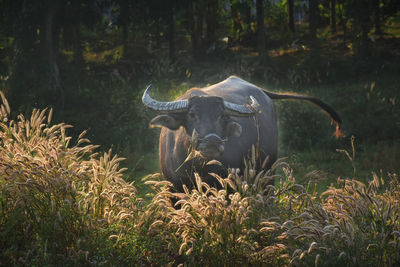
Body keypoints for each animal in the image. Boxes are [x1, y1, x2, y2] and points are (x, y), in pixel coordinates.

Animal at [142, 76, 342, 192]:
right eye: (192, 114)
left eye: (223, 116)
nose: (212, 142)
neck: (196, 168)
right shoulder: (173, 190)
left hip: (267, 172)